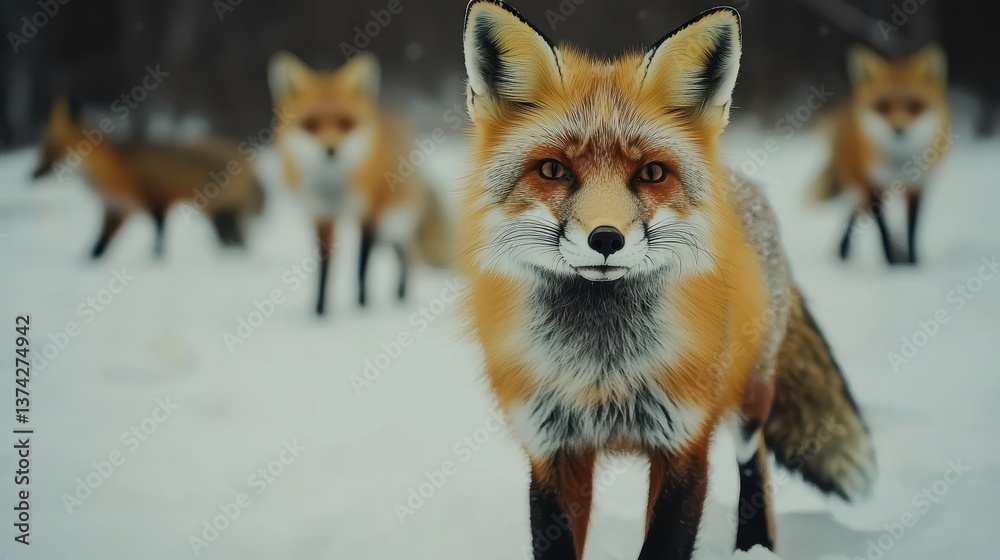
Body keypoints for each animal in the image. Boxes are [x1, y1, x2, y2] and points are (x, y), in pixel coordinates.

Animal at [33, 98, 265, 258]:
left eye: (54, 150)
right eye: (42, 149)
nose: (32, 175)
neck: (117, 171)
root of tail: (249, 161)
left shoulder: (156, 202)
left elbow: (158, 241)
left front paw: (156, 262)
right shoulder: (117, 210)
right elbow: (97, 249)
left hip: (220, 215)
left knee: (236, 242)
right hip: (220, 217)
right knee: (237, 242)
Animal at [268, 52, 452, 316]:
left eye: (346, 123)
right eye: (311, 124)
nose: (330, 150)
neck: (333, 189)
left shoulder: (368, 215)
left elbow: (361, 267)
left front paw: (362, 306)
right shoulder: (322, 216)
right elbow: (324, 270)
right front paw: (320, 312)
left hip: (393, 220)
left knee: (406, 254)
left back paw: (401, 296)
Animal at [457, 2, 876, 558]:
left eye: (652, 174)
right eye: (552, 170)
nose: (606, 238)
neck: (602, 369)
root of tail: (744, 186)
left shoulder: (685, 440)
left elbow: (665, 541)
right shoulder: (553, 448)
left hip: (750, 399)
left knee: (755, 458)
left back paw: (754, 544)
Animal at [815, 44, 949, 265]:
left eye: (915, 106)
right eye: (882, 106)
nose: (898, 130)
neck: (900, 166)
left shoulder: (917, 186)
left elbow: (912, 230)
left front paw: (913, 264)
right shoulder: (872, 186)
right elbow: (883, 233)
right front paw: (891, 264)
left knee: (856, 211)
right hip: (861, 184)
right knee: (856, 213)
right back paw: (842, 252)